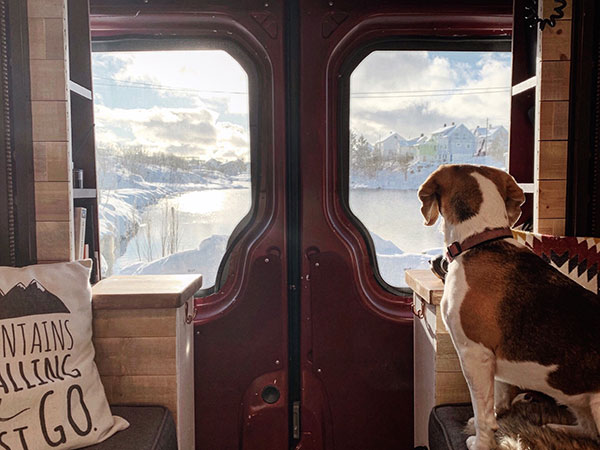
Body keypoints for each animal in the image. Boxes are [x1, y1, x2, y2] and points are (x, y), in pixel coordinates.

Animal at [418, 164, 600, 450]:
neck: (480, 239)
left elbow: (483, 412)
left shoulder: (474, 354)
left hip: (596, 402)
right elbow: (498, 395)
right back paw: (553, 426)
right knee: (589, 431)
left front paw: (481, 442)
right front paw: (497, 414)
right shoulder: (491, 358)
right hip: (577, 400)